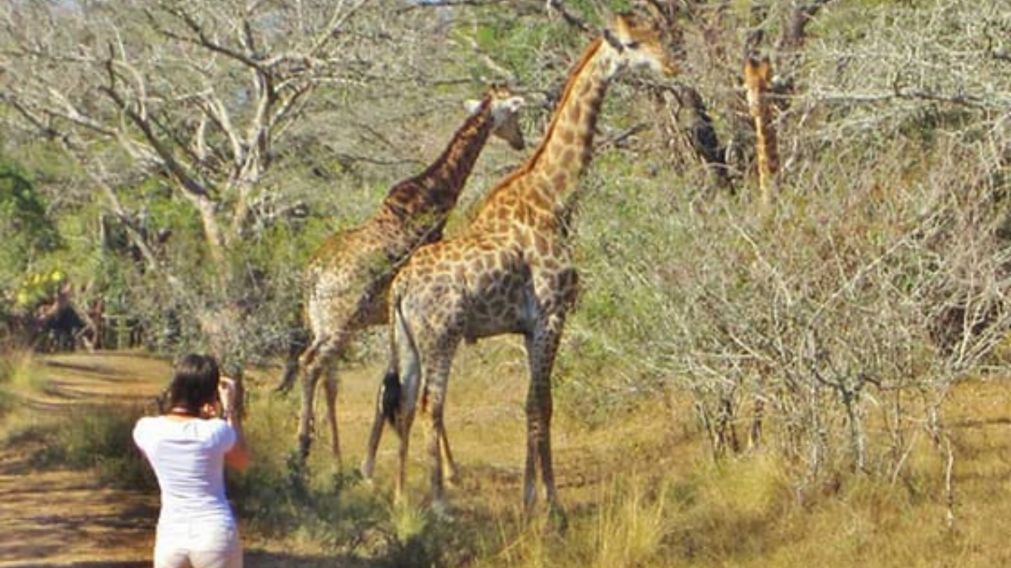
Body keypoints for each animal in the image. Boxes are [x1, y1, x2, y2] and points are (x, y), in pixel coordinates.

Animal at [283, 85, 526, 462]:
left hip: (323, 322)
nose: (521, 141)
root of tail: (312, 274)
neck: (433, 196)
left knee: (327, 376)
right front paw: (445, 464)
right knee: (311, 365)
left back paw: (334, 457)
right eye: (515, 113)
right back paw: (301, 447)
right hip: (340, 321)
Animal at [368, 13, 678, 518]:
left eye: (657, 35)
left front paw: (531, 496)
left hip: (407, 341)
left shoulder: (527, 326)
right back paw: (439, 502)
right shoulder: (552, 314)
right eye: (633, 44)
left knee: (406, 401)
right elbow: (543, 403)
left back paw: (399, 498)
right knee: (431, 403)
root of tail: (399, 288)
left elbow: (531, 404)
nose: (670, 66)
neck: (554, 198)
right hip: (443, 334)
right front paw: (550, 503)